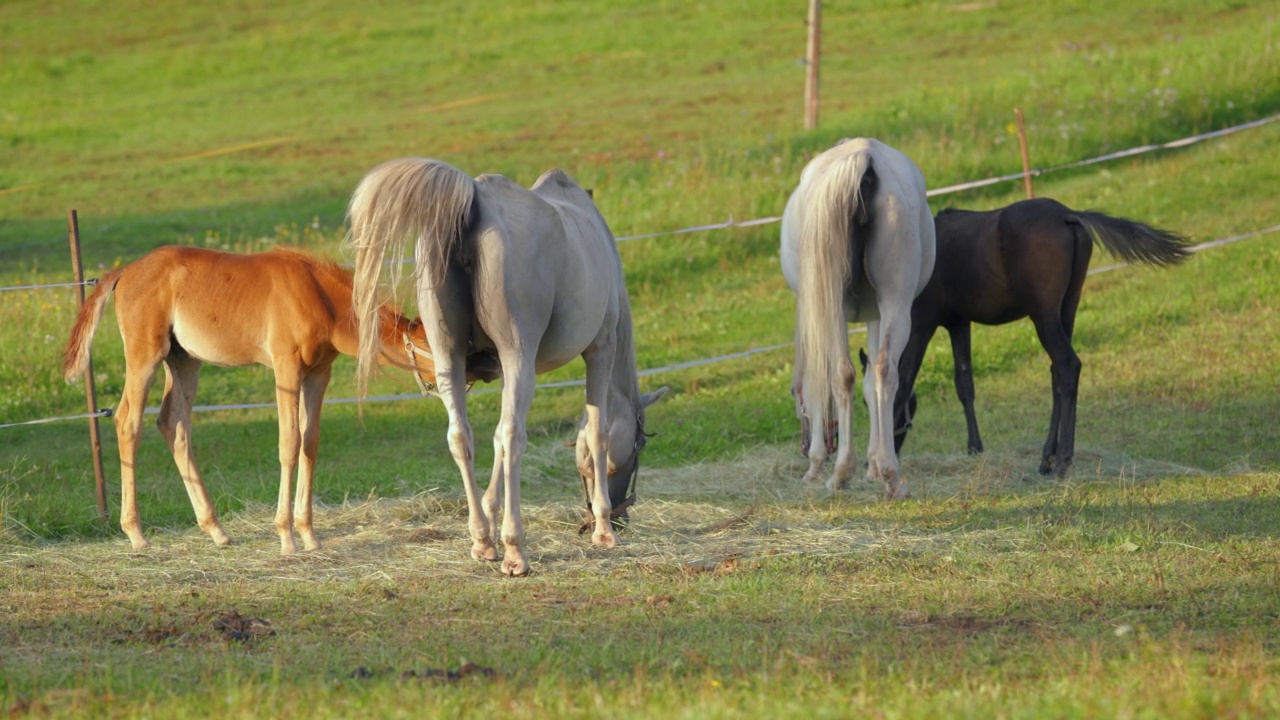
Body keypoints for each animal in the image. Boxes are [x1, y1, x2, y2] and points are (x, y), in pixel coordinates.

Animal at [58, 243, 494, 550]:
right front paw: (286, 536)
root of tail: (123, 272)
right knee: (127, 420)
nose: (488, 362)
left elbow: (310, 443)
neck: (319, 296)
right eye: (439, 342)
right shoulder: (285, 368)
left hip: (184, 360)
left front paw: (309, 533)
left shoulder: (319, 372)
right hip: (146, 354)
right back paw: (136, 533)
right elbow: (289, 442)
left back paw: (216, 530)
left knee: (172, 423)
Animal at [350, 156, 670, 576]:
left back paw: (483, 540)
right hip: (520, 356)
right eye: (640, 445)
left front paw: (490, 511)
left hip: (450, 359)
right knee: (511, 435)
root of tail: (474, 200)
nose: (620, 516)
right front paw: (603, 531)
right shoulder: (600, 349)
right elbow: (596, 433)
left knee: (463, 437)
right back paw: (515, 550)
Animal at [773, 137, 936, 497]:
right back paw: (891, 476)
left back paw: (840, 473)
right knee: (884, 371)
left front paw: (816, 464)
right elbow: (870, 382)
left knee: (841, 375)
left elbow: (819, 385)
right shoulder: (875, 314)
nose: (804, 449)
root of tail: (865, 156)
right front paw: (874, 466)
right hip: (896, 303)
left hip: (835, 308)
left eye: (792, 395)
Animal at [880, 198, 1187, 474]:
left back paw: (1062, 460)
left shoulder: (922, 322)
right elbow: (964, 383)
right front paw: (975, 448)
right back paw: (1047, 459)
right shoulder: (958, 323)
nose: (888, 454)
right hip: (1067, 308)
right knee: (1057, 374)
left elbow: (904, 381)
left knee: (1067, 365)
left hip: (1043, 314)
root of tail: (1068, 215)